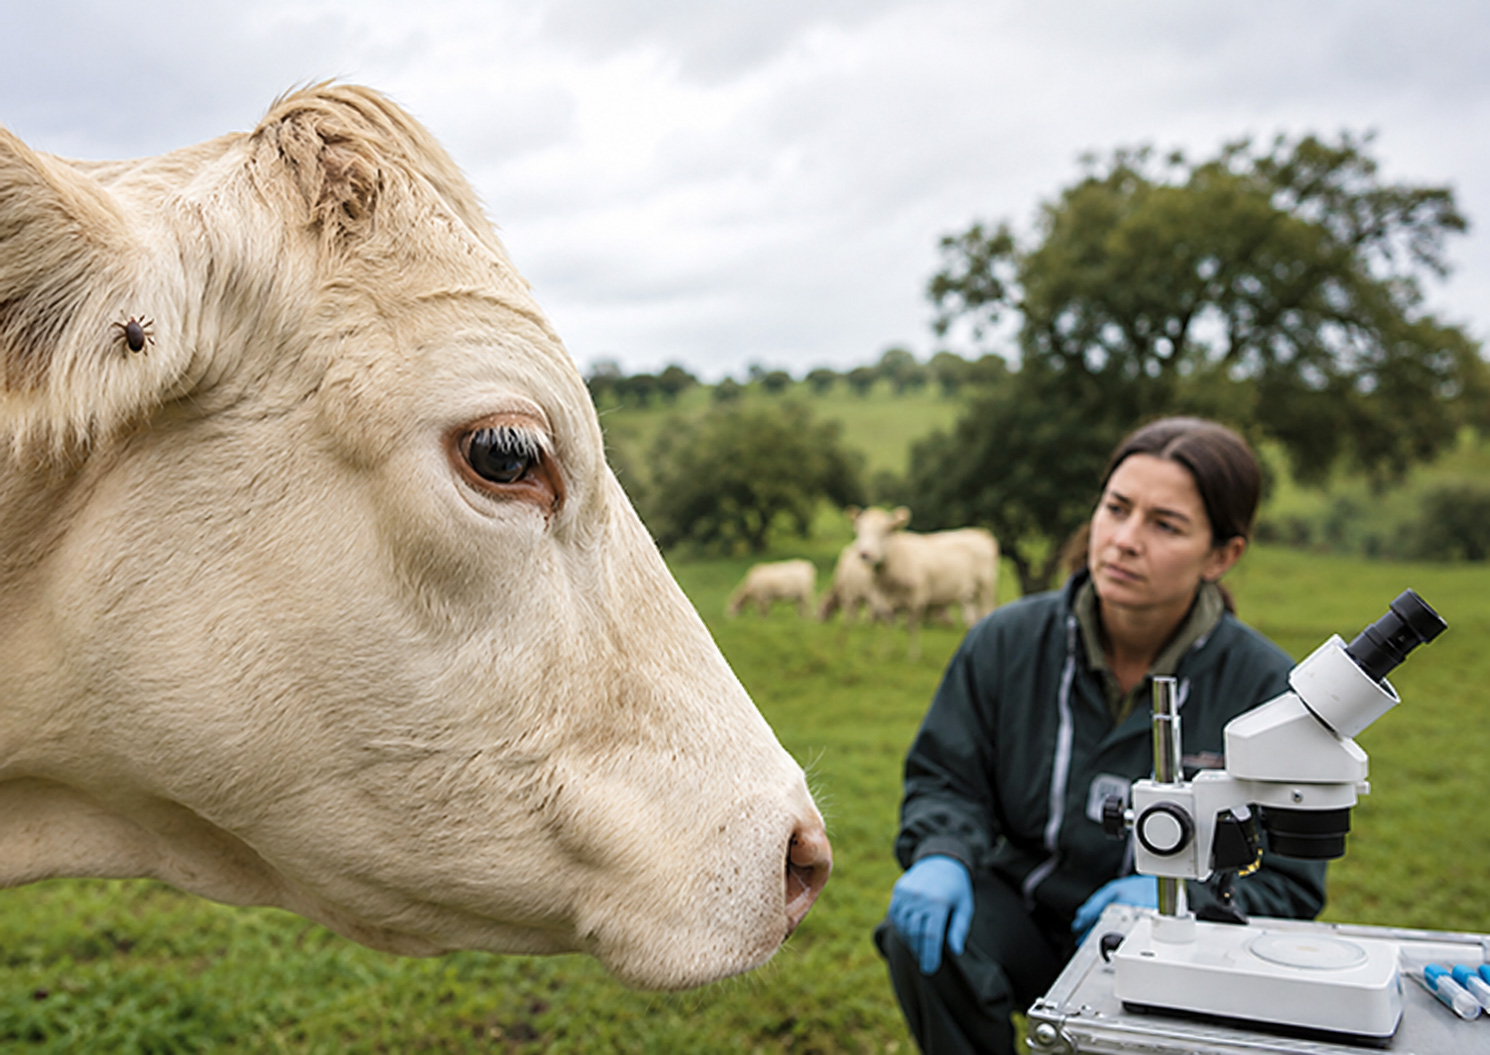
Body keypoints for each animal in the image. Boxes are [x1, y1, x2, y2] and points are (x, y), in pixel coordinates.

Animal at [847, 506, 999, 656]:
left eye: (886, 531)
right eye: (860, 531)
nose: (865, 554)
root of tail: (981, 533)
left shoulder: (918, 597)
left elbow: (912, 625)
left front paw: (913, 655)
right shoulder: (883, 599)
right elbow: (888, 624)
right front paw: (885, 652)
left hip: (986, 588)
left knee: (985, 612)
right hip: (969, 595)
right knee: (972, 619)